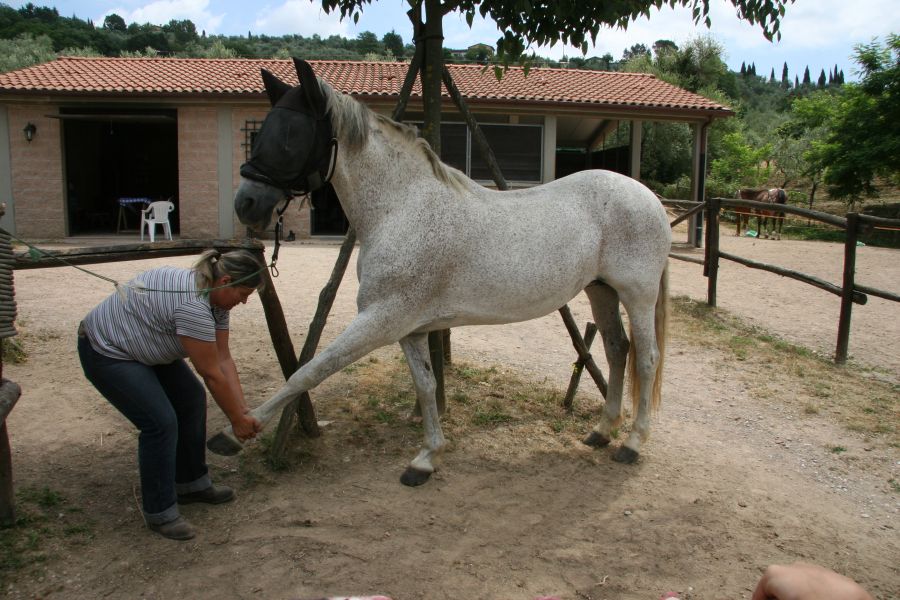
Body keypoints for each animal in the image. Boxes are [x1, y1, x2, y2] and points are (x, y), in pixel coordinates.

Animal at [209, 58, 676, 486]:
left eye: (291, 136)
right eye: (260, 132)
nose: (246, 204)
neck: (402, 207)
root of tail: (649, 198)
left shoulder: (380, 319)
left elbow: (310, 371)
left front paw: (237, 432)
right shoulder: (409, 327)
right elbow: (426, 385)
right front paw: (426, 458)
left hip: (636, 295)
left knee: (647, 358)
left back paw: (632, 444)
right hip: (601, 290)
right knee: (617, 350)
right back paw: (601, 431)